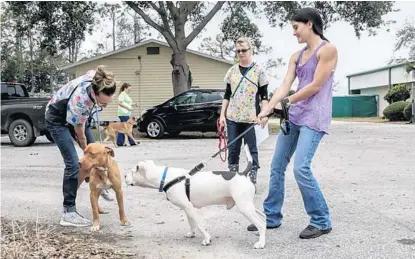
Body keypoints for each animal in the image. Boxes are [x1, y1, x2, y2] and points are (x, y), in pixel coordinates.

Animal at [123, 146, 266, 250]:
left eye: (132, 171)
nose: (124, 176)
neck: (165, 177)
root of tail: (242, 174)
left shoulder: (189, 208)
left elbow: (199, 224)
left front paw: (207, 239)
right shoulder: (187, 208)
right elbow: (191, 223)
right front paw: (191, 234)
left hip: (244, 207)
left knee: (259, 223)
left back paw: (261, 243)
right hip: (247, 205)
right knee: (263, 218)